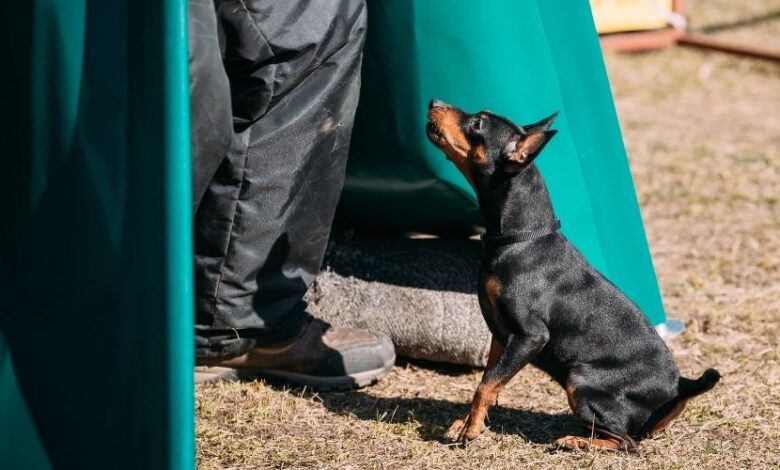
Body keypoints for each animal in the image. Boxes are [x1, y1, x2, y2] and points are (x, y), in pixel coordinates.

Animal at [426, 100, 720, 452]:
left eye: (478, 124)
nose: (434, 103)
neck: (522, 239)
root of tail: (679, 387)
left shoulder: (530, 336)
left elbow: (485, 385)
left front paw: (470, 432)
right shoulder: (501, 335)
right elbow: (490, 381)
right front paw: (470, 422)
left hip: (579, 379)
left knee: (627, 443)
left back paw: (575, 441)